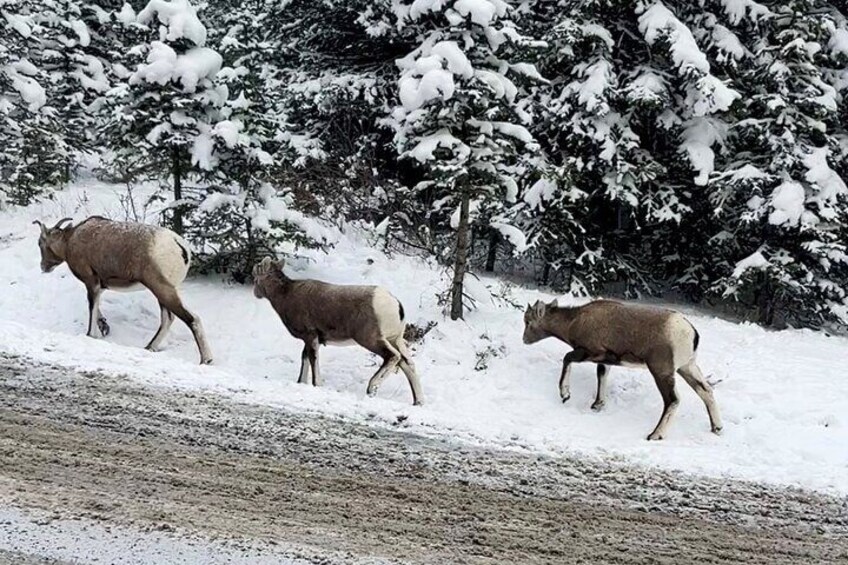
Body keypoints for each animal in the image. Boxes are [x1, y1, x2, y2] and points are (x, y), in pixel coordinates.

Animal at [35, 214, 215, 364]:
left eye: (40, 243)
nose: (43, 267)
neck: (70, 241)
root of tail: (180, 247)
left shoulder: (91, 281)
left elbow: (92, 308)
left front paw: (93, 334)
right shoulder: (100, 285)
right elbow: (96, 307)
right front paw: (104, 327)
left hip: (161, 288)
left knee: (191, 319)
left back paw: (206, 360)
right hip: (163, 291)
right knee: (168, 319)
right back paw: (148, 348)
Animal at [252, 256, 424, 406]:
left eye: (255, 276)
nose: (255, 293)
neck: (285, 295)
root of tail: (395, 304)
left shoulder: (310, 335)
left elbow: (313, 358)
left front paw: (317, 384)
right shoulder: (312, 339)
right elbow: (305, 358)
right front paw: (301, 382)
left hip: (370, 339)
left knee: (393, 357)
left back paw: (371, 388)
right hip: (395, 339)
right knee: (407, 363)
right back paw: (418, 402)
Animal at [524, 298, 724, 438]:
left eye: (528, 322)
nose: (524, 339)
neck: (575, 322)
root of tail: (692, 333)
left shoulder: (588, 352)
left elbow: (567, 359)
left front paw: (565, 394)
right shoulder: (604, 360)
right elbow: (601, 376)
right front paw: (597, 405)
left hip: (661, 371)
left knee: (673, 400)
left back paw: (654, 435)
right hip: (687, 367)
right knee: (706, 390)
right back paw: (717, 428)